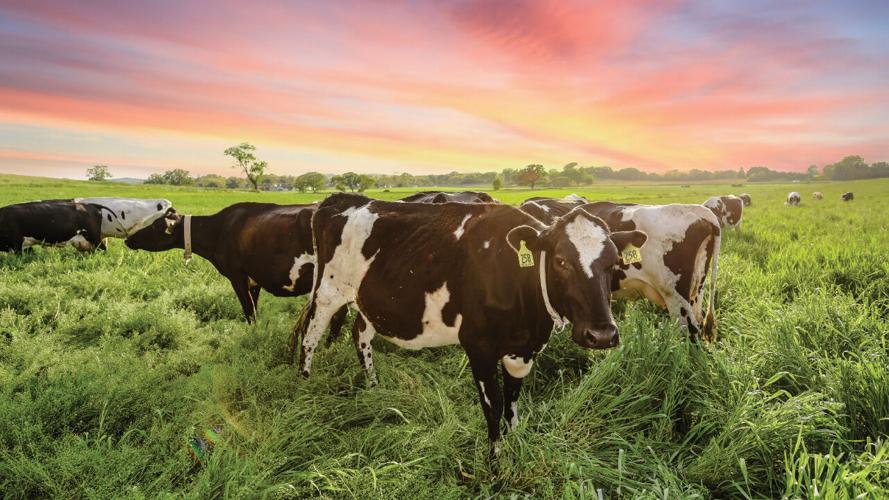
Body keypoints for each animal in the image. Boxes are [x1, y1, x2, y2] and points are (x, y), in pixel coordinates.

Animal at [124, 203, 348, 334]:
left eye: (155, 226)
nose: (128, 239)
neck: (217, 230)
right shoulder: (254, 278)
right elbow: (254, 309)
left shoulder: (237, 275)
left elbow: (249, 312)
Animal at [297, 193, 647, 448]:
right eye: (561, 261)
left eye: (614, 262)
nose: (602, 335)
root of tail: (339, 199)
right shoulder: (478, 346)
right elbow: (493, 408)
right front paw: (495, 462)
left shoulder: (522, 350)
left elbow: (513, 400)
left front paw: (514, 443)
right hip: (328, 291)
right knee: (310, 335)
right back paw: (304, 384)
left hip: (369, 300)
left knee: (360, 334)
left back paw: (373, 386)